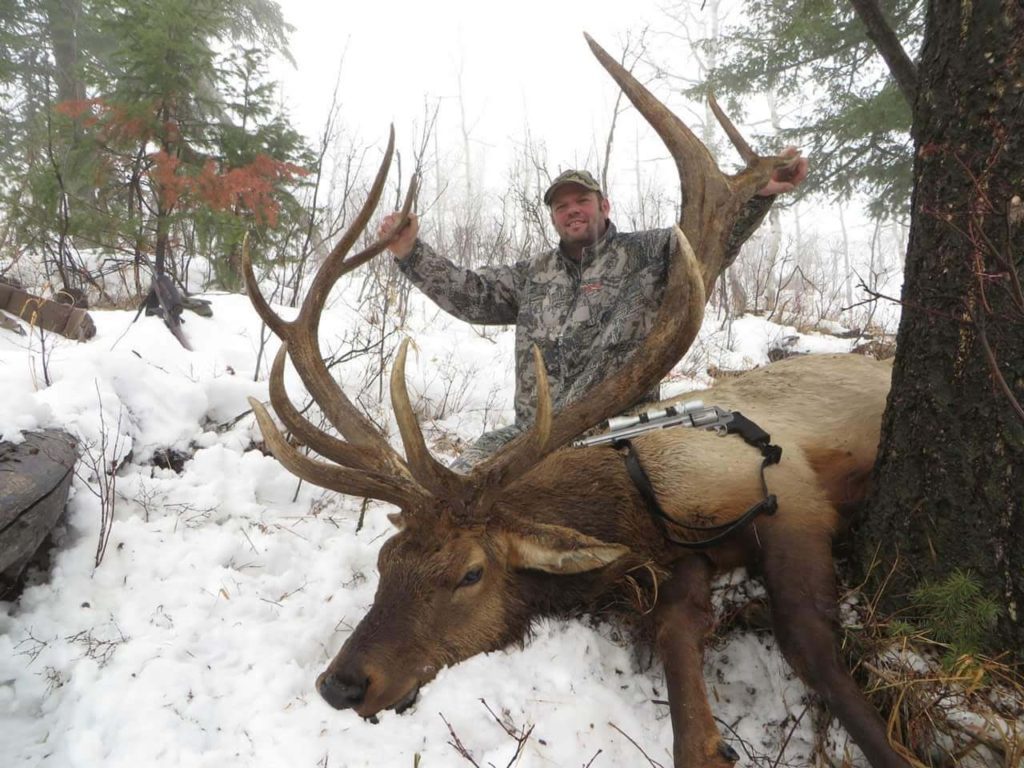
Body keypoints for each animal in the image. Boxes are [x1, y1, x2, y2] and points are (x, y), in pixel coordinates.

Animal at [241, 36, 913, 768]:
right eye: (385, 562)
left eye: (470, 573)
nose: (340, 683)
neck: (637, 502)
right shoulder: (683, 556)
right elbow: (675, 627)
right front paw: (707, 742)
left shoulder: (788, 495)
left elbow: (808, 641)